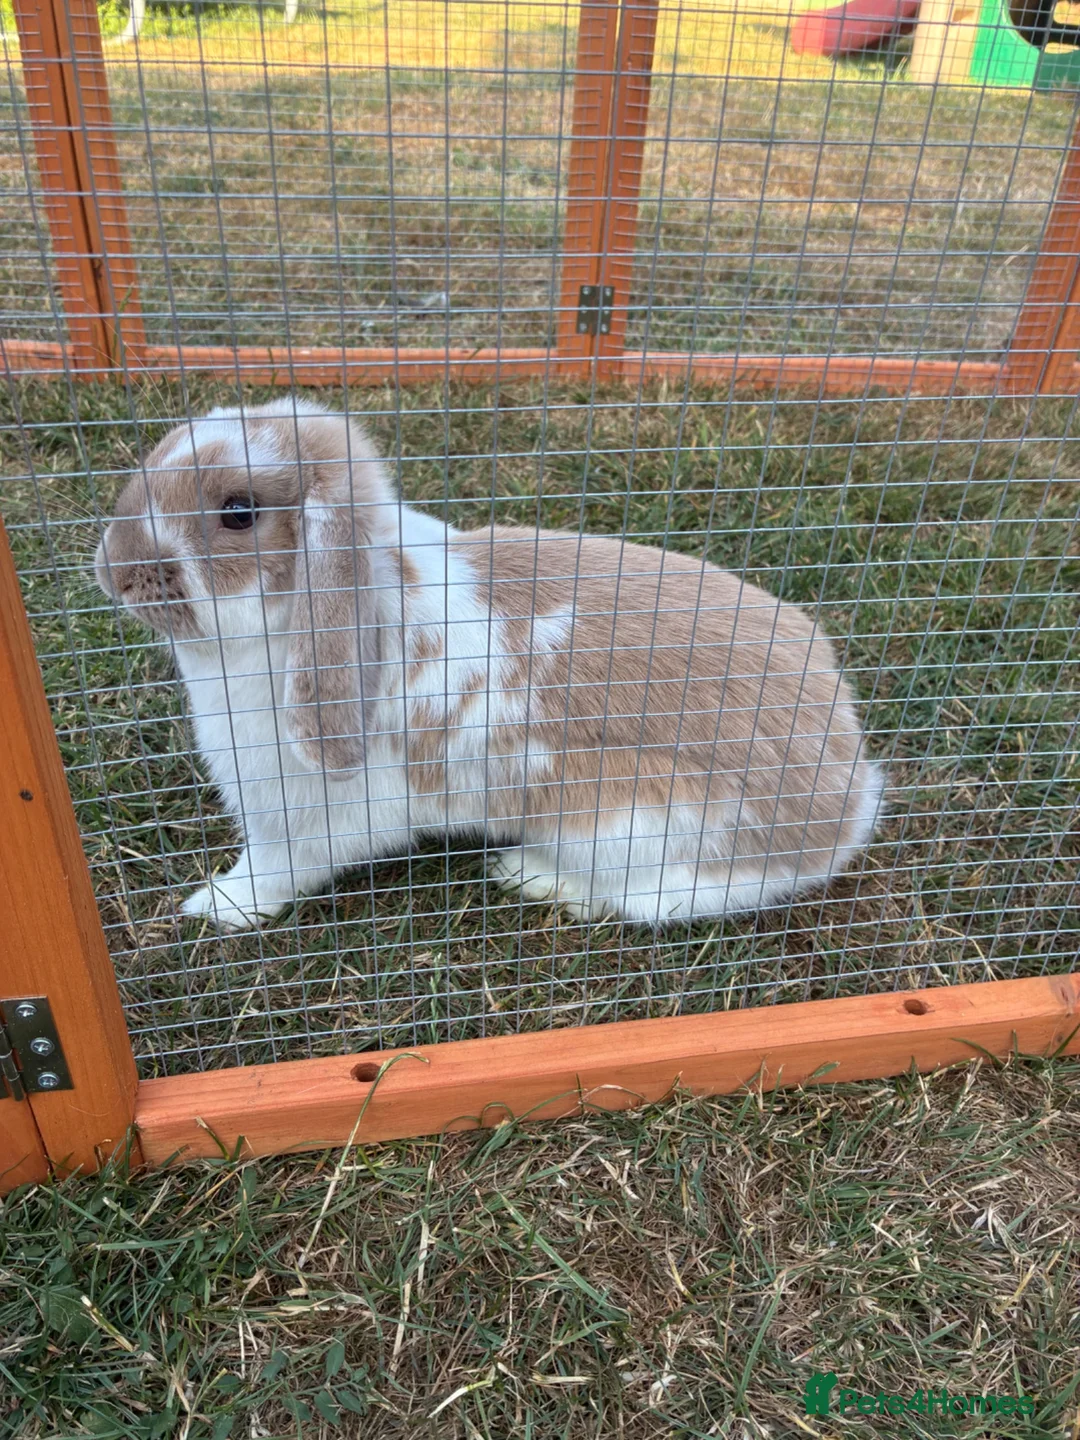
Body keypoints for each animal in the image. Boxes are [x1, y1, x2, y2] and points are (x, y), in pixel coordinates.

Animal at [94, 396, 885, 932]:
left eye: (238, 512)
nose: (114, 572)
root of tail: (849, 806)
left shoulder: (308, 817)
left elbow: (274, 873)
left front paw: (213, 905)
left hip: (629, 827)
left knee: (652, 899)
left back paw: (529, 875)